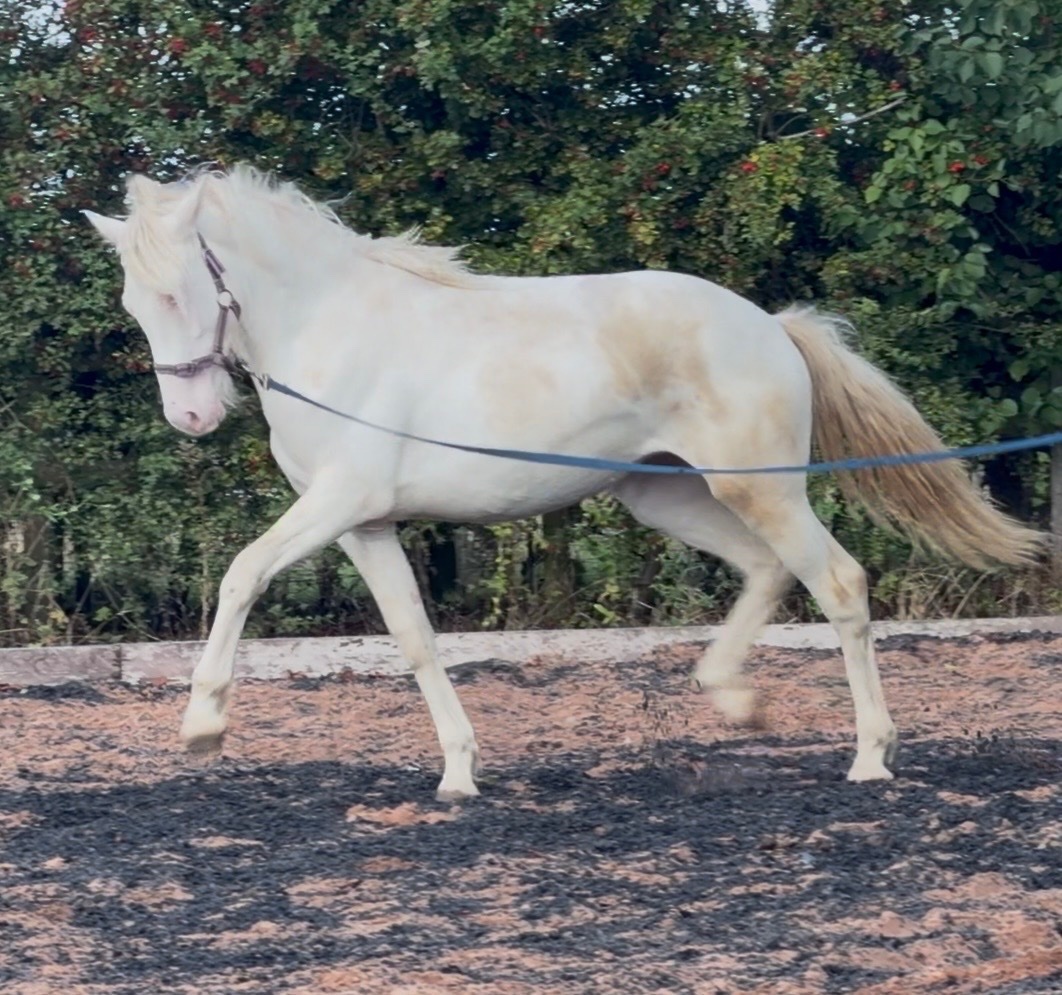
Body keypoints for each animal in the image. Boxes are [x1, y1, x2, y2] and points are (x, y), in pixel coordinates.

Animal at [84, 165, 1041, 799]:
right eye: (133, 301)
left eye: (179, 292)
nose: (193, 417)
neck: (329, 328)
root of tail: (769, 324)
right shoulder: (365, 524)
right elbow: (414, 638)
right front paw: (459, 772)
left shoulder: (337, 504)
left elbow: (240, 573)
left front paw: (203, 726)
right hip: (668, 494)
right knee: (768, 571)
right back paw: (733, 699)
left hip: (762, 488)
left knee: (838, 582)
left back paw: (871, 755)